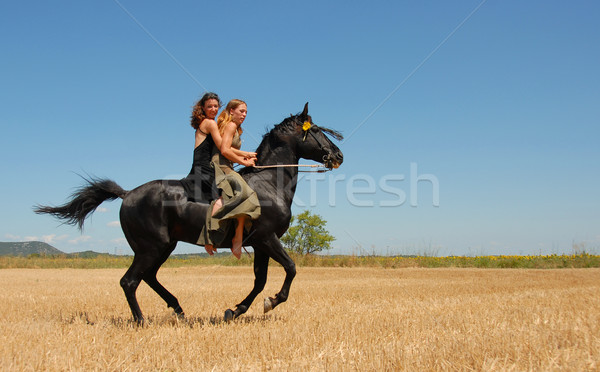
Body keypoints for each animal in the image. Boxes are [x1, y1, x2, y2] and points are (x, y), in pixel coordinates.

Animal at [35, 103, 342, 324]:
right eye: (316, 130)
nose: (338, 155)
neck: (268, 183)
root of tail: (127, 194)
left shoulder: (259, 243)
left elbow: (259, 281)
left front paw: (235, 311)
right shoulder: (267, 239)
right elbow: (290, 268)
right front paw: (272, 301)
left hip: (163, 246)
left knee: (148, 277)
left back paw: (178, 309)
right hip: (151, 247)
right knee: (129, 281)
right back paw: (141, 320)